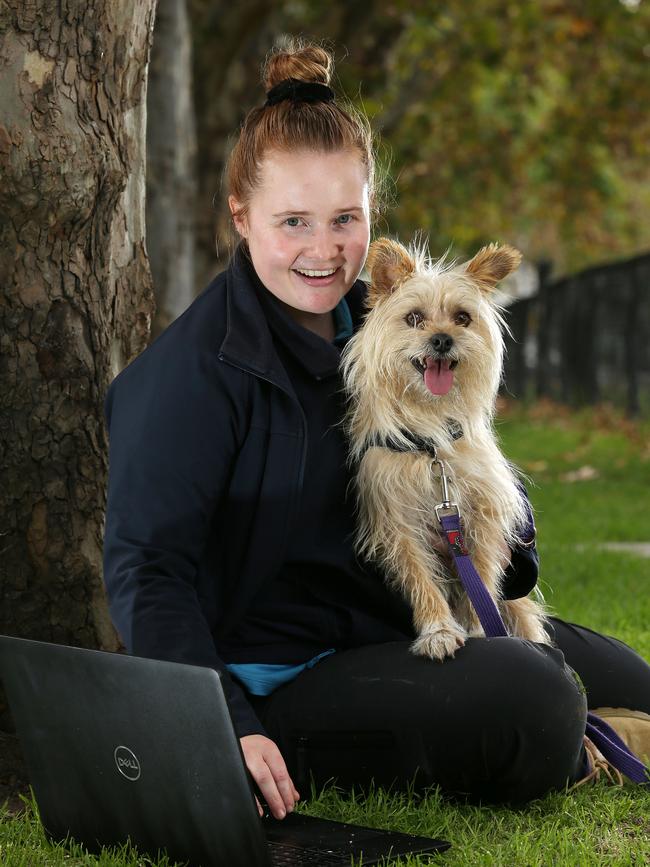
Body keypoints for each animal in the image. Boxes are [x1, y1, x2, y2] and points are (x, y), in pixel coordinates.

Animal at [342, 237, 548, 656]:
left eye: (463, 318)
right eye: (414, 318)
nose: (442, 339)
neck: (431, 440)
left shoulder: (483, 514)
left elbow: (482, 575)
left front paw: (481, 627)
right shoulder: (397, 522)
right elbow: (421, 579)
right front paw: (438, 629)